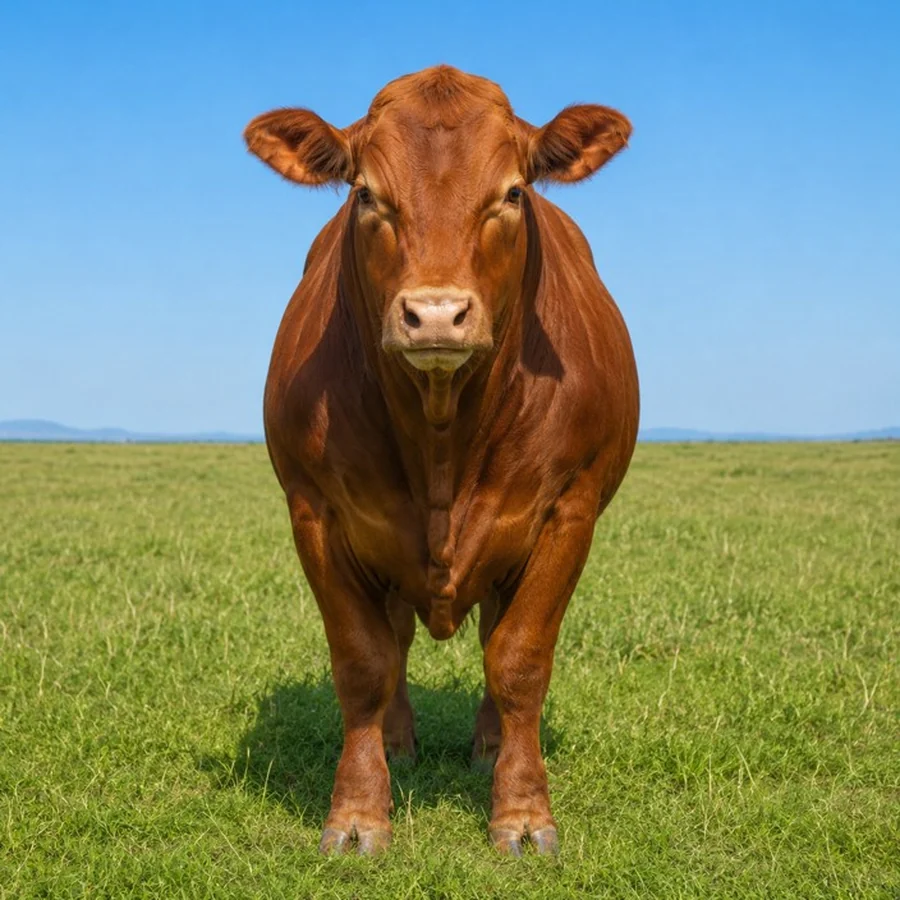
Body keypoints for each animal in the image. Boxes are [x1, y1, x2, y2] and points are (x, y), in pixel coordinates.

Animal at [244, 65, 639, 857]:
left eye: (512, 193)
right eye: (367, 194)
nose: (433, 315)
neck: (440, 432)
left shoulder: (569, 512)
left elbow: (519, 659)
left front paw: (522, 815)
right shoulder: (315, 512)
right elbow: (363, 661)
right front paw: (358, 815)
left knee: (492, 635)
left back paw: (489, 746)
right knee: (395, 639)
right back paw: (398, 743)